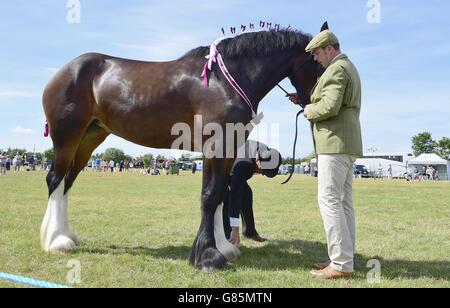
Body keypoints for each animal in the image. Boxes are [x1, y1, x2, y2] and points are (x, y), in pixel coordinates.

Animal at [39, 22, 326, 270]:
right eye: (321, 64)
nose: (314, 102)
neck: (225, 80)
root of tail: (64, 71)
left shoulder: (230, 147)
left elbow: (220, 195)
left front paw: (223, 249)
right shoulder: (215, 145)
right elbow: (210, 196)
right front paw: (208, 257)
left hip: (90, 138)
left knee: (67, 182)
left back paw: (67, 236)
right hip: (67, 137)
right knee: (55, 179)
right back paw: (56, 241)